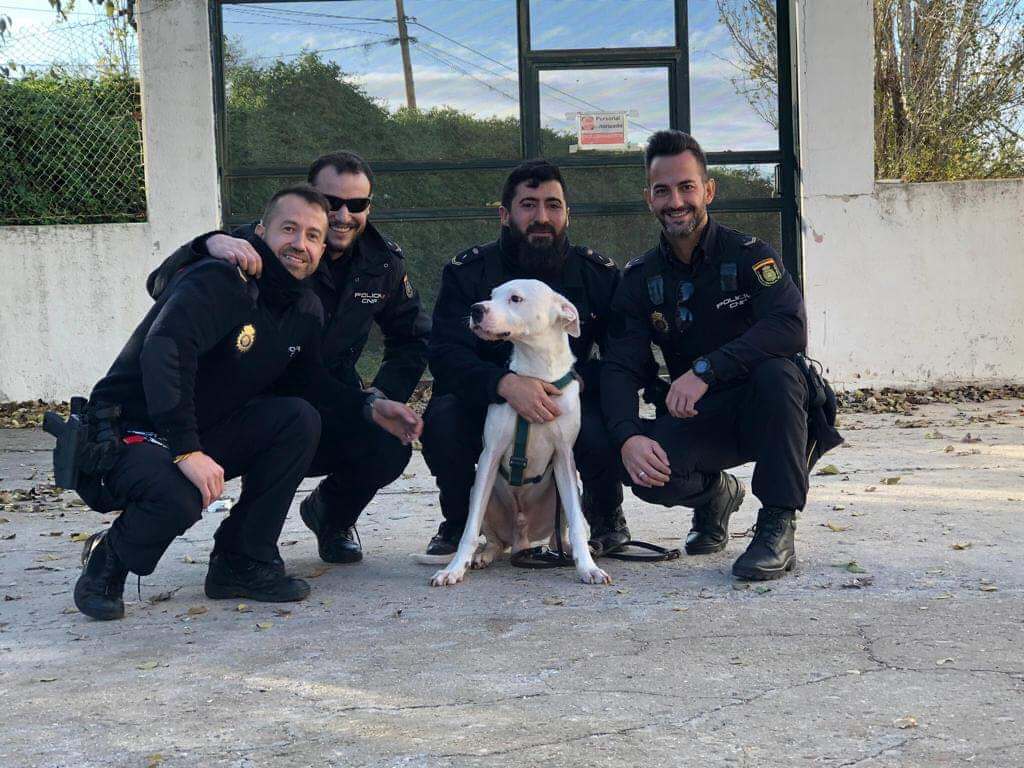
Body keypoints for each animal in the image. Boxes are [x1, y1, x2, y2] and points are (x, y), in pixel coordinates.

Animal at [428, 280, 610, 585]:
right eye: (491, 295)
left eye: (515, 298)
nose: (476, 309)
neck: (538, 374)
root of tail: (520, 537)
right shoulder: (490, 455)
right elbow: (470, 529)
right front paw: (453, 569)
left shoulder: (564, 456)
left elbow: (576, 523)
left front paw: (587, 567)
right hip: (481, 495)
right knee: (493, 540)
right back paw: (482, 557)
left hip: (564, 496)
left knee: (558, 535)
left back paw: (568, 551)